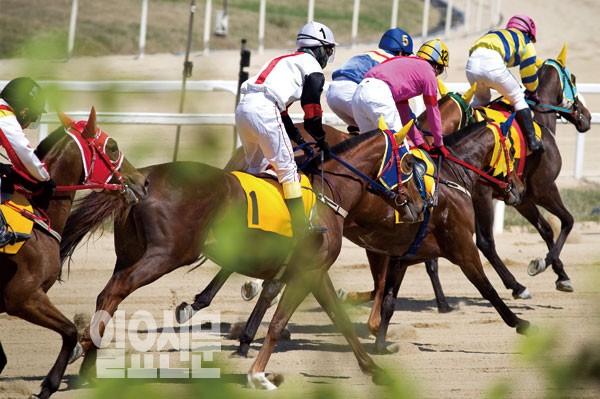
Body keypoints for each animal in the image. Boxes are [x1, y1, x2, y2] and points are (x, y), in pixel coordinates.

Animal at [0, 108, 145, 398]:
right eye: (112, 147)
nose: (142, 181)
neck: (37, 217)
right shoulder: (22, 298)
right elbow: (69, 332)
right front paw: (49, 384)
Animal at [61, 129, 422, 390]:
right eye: (408, 164)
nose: (420, 206)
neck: (328, 195)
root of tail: (139, 179)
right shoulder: (306, 273)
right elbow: (277, 324)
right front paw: (258, 374)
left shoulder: (316, 273)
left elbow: (341, 320)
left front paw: (373, 368)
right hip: (166, 254)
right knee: (114, 292)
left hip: (129, 253)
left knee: (107, 296)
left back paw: (88, 365)